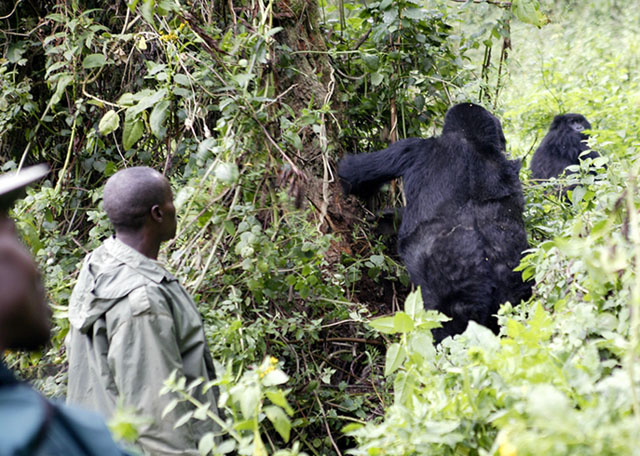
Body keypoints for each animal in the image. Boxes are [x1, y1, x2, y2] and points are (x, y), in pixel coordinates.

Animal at [340, 103, 528, 344]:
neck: (469, 138)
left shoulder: (410, 147)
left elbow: (351, 174)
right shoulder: (511, 168)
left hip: (453, 294)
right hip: (516, 285)